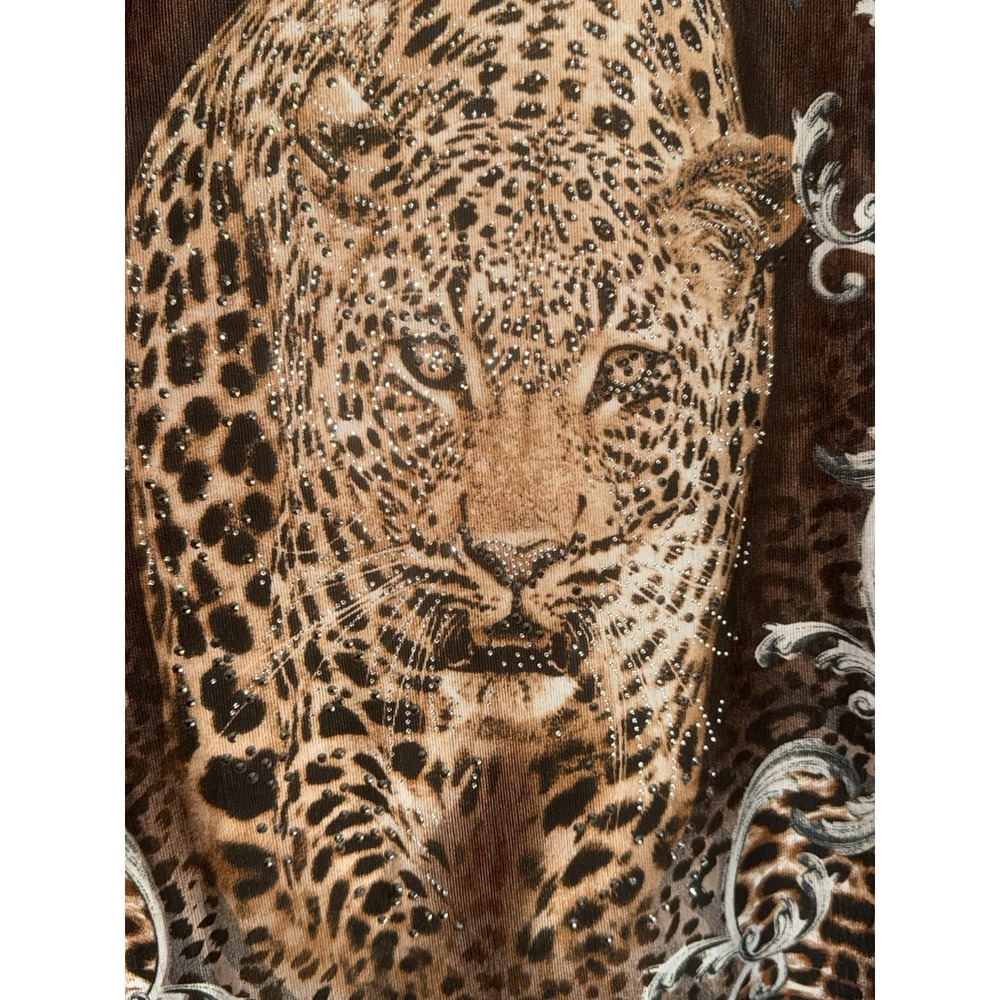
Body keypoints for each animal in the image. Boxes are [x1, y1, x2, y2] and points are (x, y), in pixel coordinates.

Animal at [125, 1, 811, 997]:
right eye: (434, 362)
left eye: (626, 373)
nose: (516, 557)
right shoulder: (344, 730)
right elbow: (383, 920)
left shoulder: (638, 748)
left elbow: (587, 924)